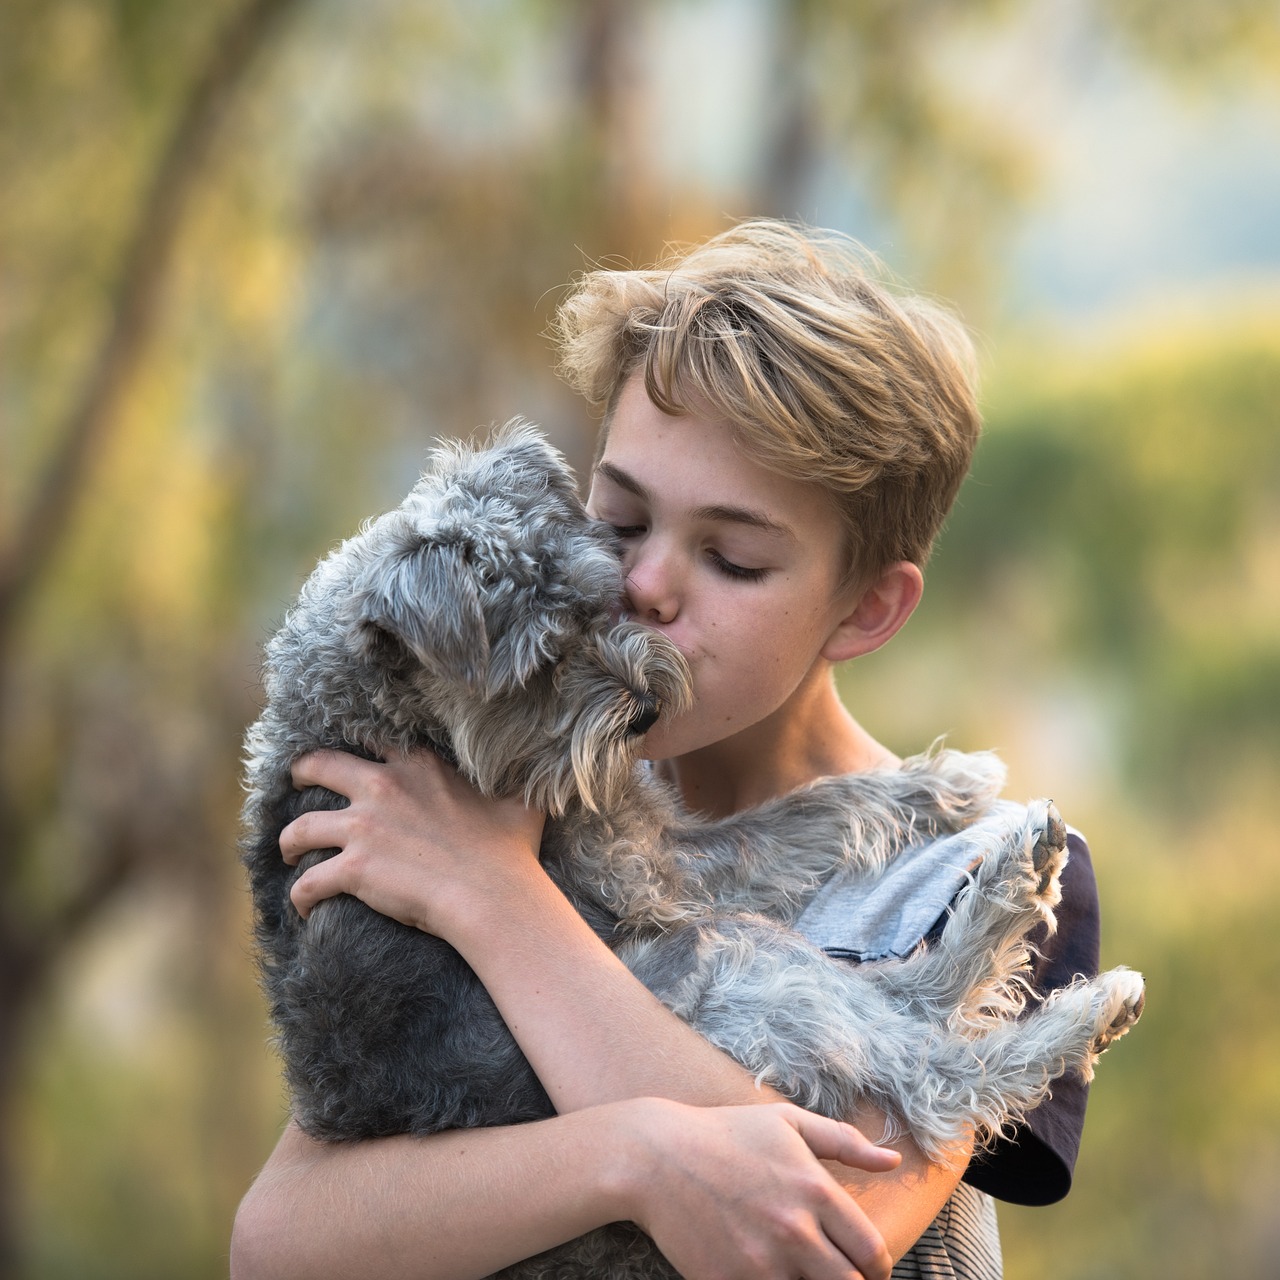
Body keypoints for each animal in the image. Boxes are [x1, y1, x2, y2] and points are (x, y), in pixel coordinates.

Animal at [240, 422, 1141, 1280]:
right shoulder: (651, 867)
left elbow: (799, 813)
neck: (377, 714)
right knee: (933, 1071)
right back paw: (1072, 974)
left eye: (603, 601)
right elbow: (806, 812)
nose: (643, 710)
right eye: (540, 666)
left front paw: (941, 779)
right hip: (728, 961)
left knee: (912, 1004)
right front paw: (942, 780)